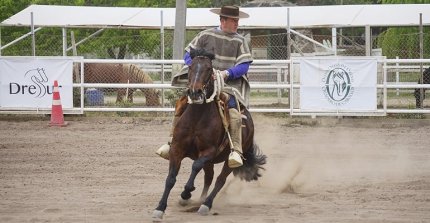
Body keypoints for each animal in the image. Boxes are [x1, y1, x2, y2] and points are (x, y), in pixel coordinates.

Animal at [151, 49, 266, 220]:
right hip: (210, 162)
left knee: (220, 180)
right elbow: (170, 178)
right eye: (191, 67)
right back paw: (200, 199)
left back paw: (206, 204)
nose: (195, 92)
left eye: (209, 69)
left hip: (228, 161)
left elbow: (195, 166)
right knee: (209, 177)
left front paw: (187, 191)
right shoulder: (177, 149)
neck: (197, 118)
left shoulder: (209, 151)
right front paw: (160, 207)